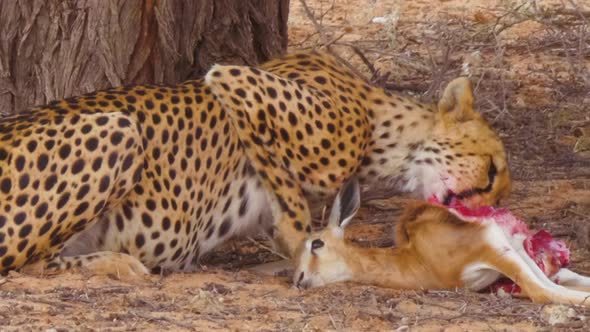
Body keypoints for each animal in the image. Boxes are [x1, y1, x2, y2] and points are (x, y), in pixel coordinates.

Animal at [0, 51, 512, 274]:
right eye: (491, 170)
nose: (486, 211)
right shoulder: (234, 77)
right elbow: (284, 183)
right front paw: (301, 239)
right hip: (120, 128)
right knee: (25, 265)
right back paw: (118, 264)